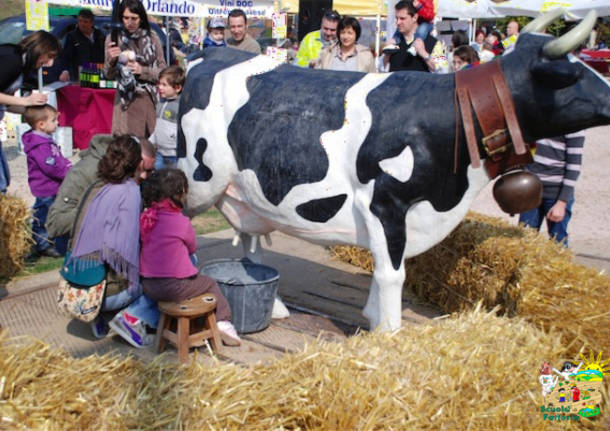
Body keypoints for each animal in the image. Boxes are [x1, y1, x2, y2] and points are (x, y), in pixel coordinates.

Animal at [178, 10, 608, 332]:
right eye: (573, 74)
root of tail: (209, 55)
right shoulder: (386, 202)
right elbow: (392, 273)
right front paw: (389, 331)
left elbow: (387, 265)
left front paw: (373, 317)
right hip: (195, 179)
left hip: (245, 190)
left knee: (250, 241)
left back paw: (276, 305)